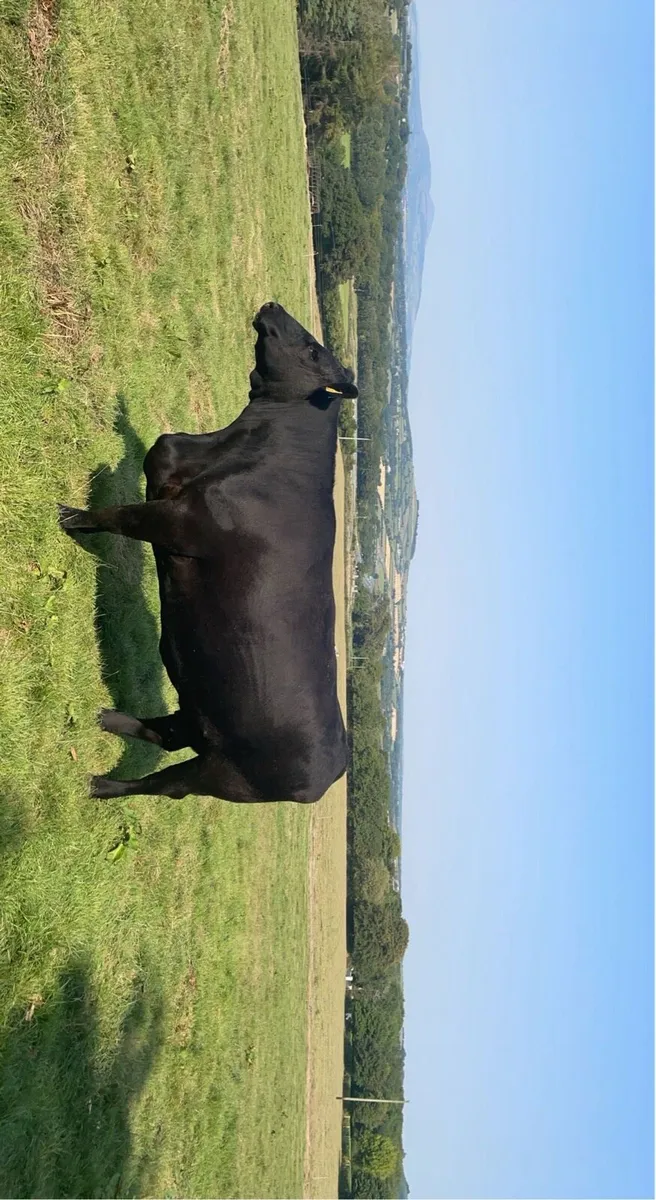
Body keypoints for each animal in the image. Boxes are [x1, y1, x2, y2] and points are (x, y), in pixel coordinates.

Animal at [58, 301, 358, 803]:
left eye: (313, 350)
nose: (273, 304)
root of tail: (334, 770)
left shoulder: (178, 522)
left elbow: (120, 515)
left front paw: (72, 518)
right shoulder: (166, 470)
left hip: (224, 774)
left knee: (165, 785)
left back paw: (100, 784)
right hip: (203, 710)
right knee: (169, 733)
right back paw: (109, 718)